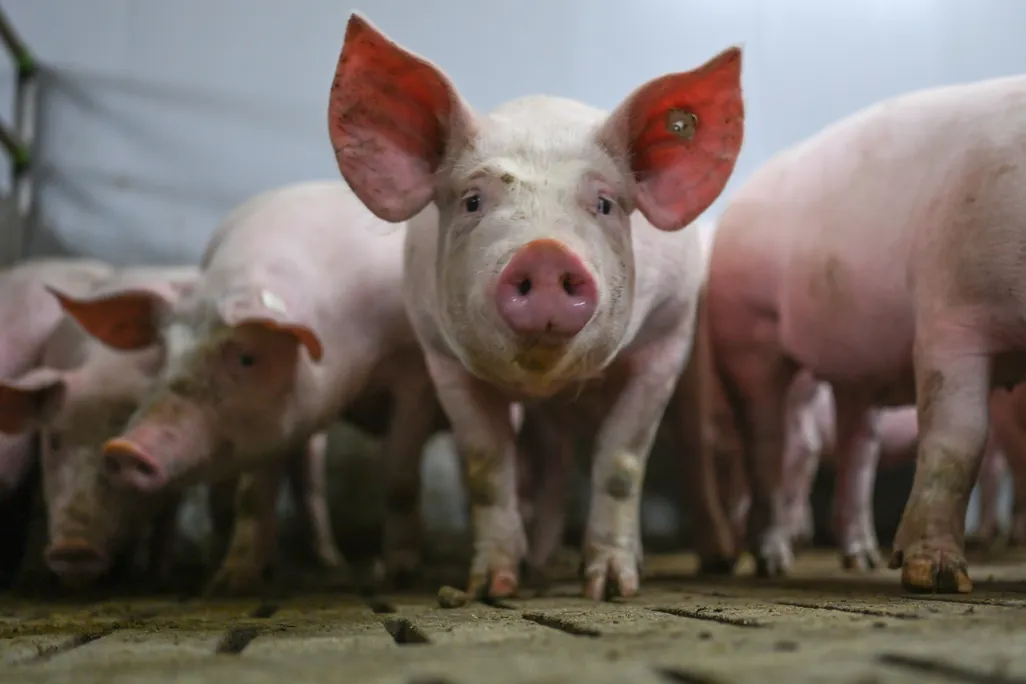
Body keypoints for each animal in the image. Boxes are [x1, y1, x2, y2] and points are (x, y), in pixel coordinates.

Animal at [56, 181, 446, 595]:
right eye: (164, 349)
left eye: (247, 358)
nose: (124, 448)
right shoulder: (273, 426)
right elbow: (253, 495)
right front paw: (229, 583)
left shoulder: (415, 372)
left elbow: (400, 476)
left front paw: (398, 574)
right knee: (304, 485)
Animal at [326, 13, 744, 599]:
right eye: (472, 201)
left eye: (604, 203)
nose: (545, 252)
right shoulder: (441, 358)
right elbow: (486, 468)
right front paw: (490, 587)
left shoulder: (667, 338)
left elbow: (621, 462)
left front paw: (610, 588)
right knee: (552, 461)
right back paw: (540, 565)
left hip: (697, 356)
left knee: (694, 446)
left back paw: (718, 559)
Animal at [707, 73, 1026, 593]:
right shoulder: (950, 313)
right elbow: (959, 438)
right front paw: (936, 578)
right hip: (749, 331)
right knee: (770, 445)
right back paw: (772, 562)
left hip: (854, 372)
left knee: (857, 449)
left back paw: (862, 561)